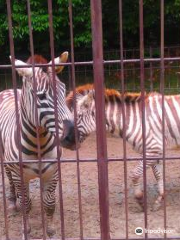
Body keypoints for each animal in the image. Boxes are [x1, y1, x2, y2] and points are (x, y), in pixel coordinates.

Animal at [0, 51, 79, 237]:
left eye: (63, 90)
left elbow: (49, 203)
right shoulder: (19, 175)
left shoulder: (53, 172)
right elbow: (25, 204)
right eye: (41, 96)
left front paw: (50, 231)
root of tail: (8, 90)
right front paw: (26, 230)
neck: (39, 144)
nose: (73, 136)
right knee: (9, 177)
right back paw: (12, 201)